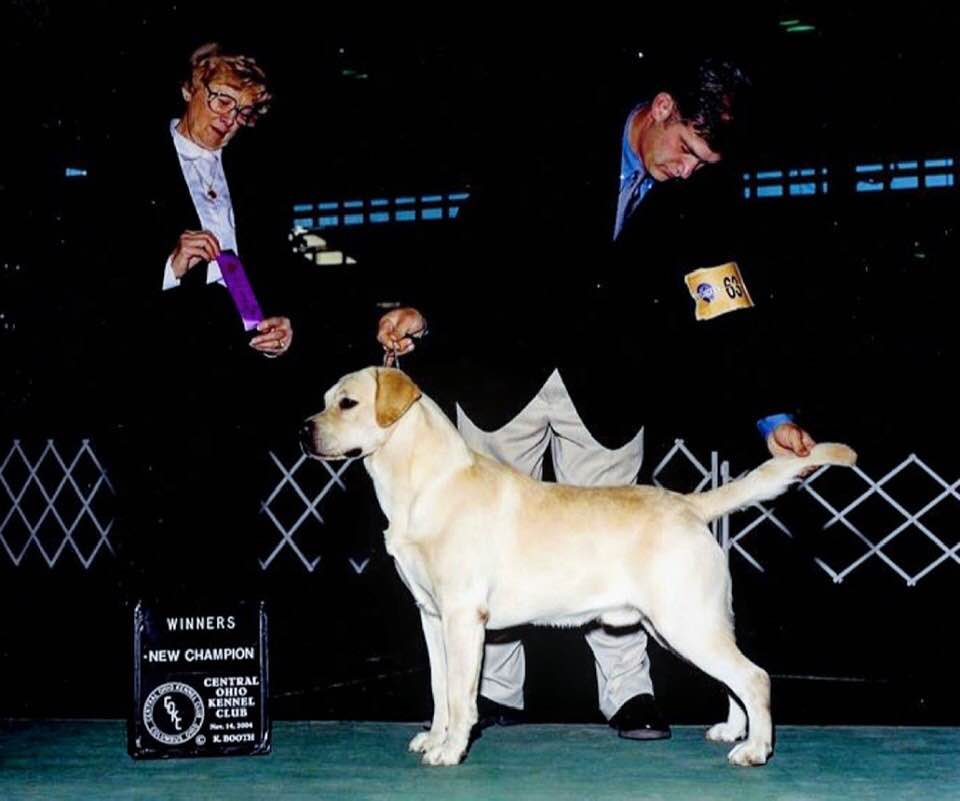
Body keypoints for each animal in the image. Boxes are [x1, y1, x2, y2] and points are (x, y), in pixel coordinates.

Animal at [301, 367, 856, 767]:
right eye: (324, 399)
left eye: (347, 403)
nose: (303, 429)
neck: (422, 482)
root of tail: (689, 504)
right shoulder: (432, 616)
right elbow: (440, 690)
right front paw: (433, 738)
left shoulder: (462, 616)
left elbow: (461, 695)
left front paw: (450, 750)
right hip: (689, 623)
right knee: (734, 681)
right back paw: (732, 731)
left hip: (686, 621)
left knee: (755, 678)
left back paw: (755, 750)